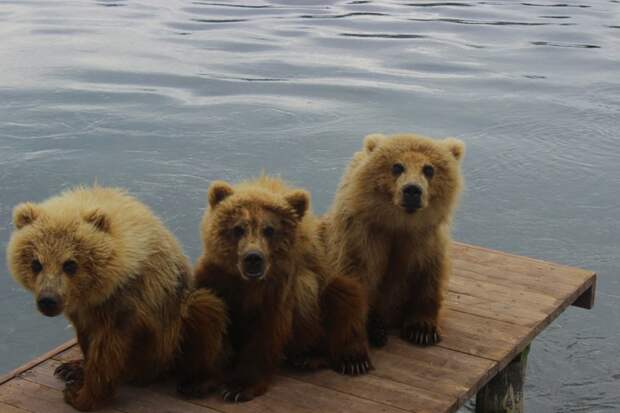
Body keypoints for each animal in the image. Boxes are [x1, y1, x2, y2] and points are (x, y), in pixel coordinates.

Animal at [6, 186, 229, 408]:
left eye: (69, 264)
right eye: (36, 263)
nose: (48, 300)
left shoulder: (125, 302)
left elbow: (106, 351)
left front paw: (79, 395)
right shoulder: (82, 308)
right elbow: (86, 337)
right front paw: (77, 371)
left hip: (171, 335)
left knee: (204, 310)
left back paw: (199, 381)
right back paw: (69, 368)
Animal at [194, 176, 368, 402]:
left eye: (269, 229)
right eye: (238, 228)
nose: (253, 258)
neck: (248, 283)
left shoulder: (278, 290)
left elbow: (266, 333)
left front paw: (239, 387)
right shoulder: (217, 278)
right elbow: (209, 318)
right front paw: (201, 380)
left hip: (320, 294)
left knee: (343, 297)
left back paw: (339, 358)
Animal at [322, 132, 462, 348]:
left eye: (429, 169)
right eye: (397, 166)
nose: (412, 190)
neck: (399, 223)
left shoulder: (427, 239)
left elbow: (429, 276)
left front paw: (423, 330)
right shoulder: (363, 235)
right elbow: (358, 275)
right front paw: (370, 329)